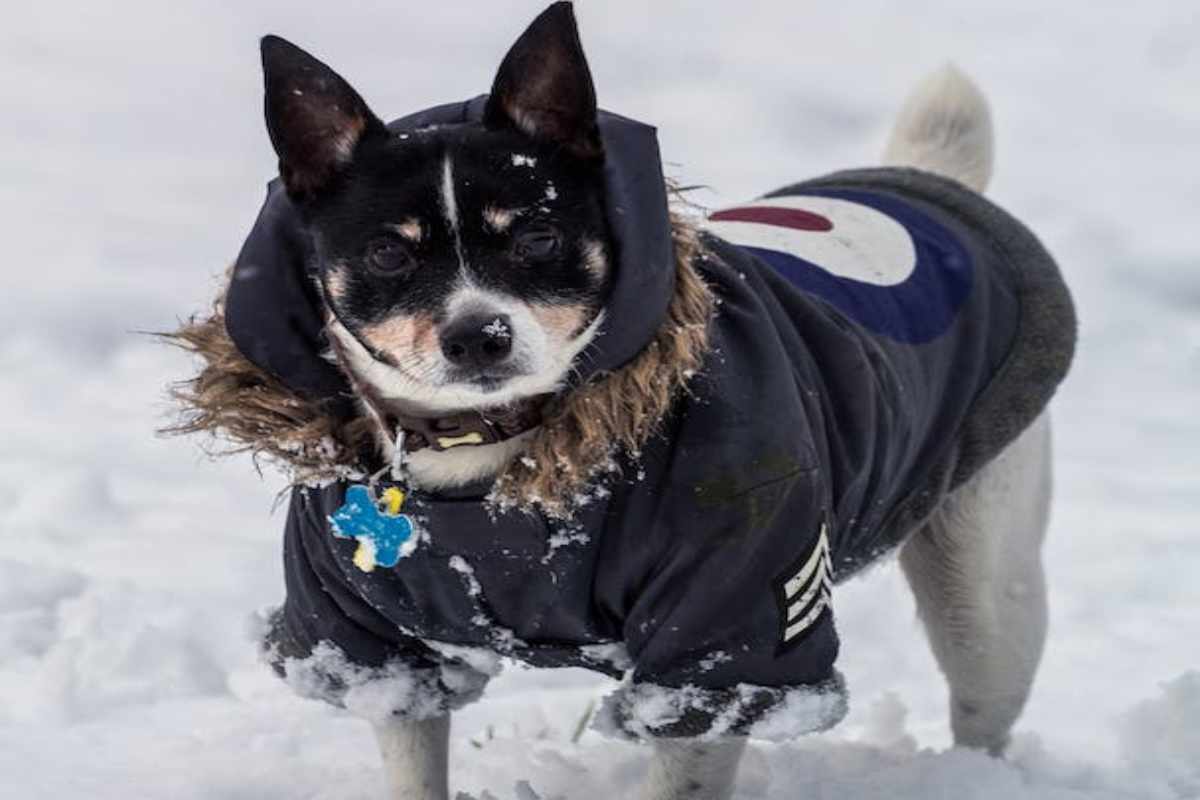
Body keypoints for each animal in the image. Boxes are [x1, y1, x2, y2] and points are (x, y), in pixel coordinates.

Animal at [180, 1, 1080, 800]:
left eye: (538, 237)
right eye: (387, 255)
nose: (477, 336)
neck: (494, 463)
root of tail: (926, 180)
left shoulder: (727, 634)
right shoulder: (376, 648)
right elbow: (412, 764)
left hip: (985, 587)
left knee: (984, 695)